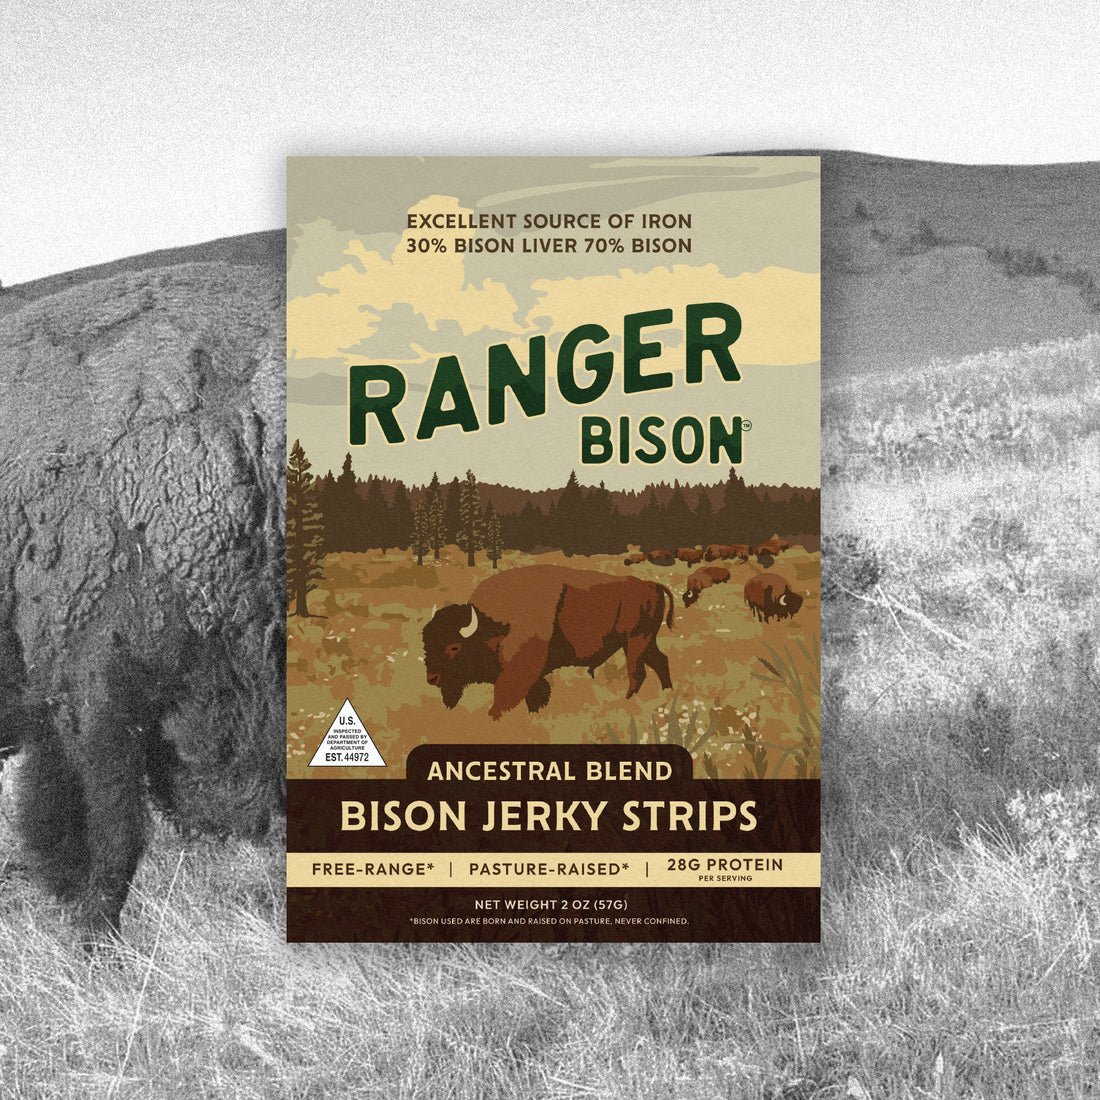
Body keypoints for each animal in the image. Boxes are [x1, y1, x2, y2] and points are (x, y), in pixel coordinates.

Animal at [422, 565, 675, 719]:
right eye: (426, 644)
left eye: (454, 646)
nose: (432, 678)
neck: (495, 626)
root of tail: (652, 584)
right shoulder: (536, 678)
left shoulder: (519, 672)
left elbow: (503, 700)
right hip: (645, 642)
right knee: (660, 661)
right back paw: (667, 694)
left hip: (635, 641)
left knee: (637, 672)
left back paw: (628, 702)